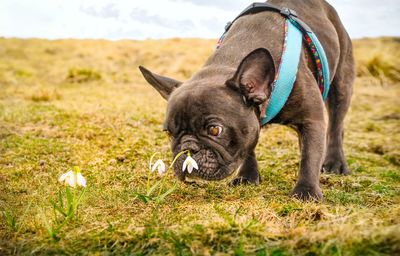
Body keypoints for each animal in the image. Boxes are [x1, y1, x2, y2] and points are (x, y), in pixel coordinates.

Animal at [138, 0, 354, 200]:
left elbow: (310, 156)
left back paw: (334, 163)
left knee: (335, 126)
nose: (186, 149)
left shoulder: (312, 119)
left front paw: (306, 191)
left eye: (214, 130)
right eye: (168, 133)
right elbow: (247, 149)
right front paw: (247, 177)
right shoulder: (249, 124)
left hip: (342, 85)